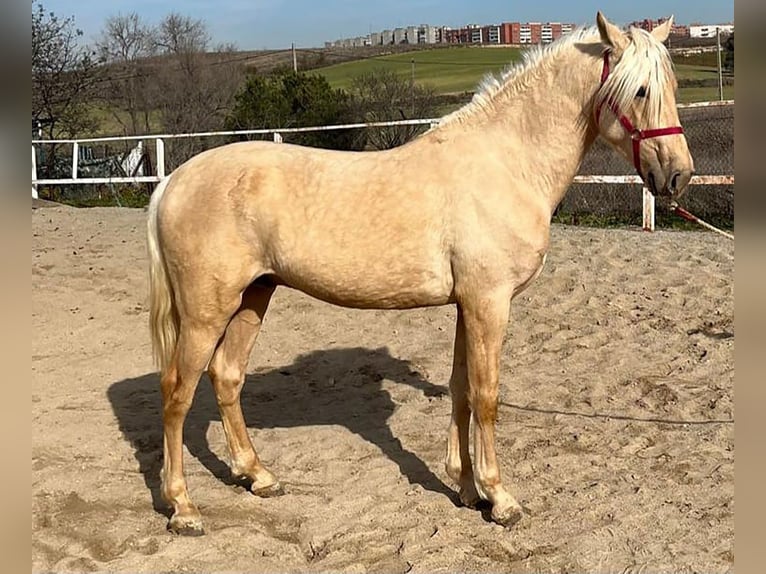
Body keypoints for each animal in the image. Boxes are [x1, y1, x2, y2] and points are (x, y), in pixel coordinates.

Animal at [146, 12, 696, 536]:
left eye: (671, 86)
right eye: (639, 90)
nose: (677, 176)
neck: (505, 164)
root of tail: (174, 181)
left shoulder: (467, 305)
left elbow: (460, 389)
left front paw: (468, 489)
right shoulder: (489, 303)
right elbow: (486, 396)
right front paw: (501, 500)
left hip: (253, 297)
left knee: (226, 377)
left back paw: (258, 476)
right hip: (206, 312)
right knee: (176, 393)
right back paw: (183, 508)